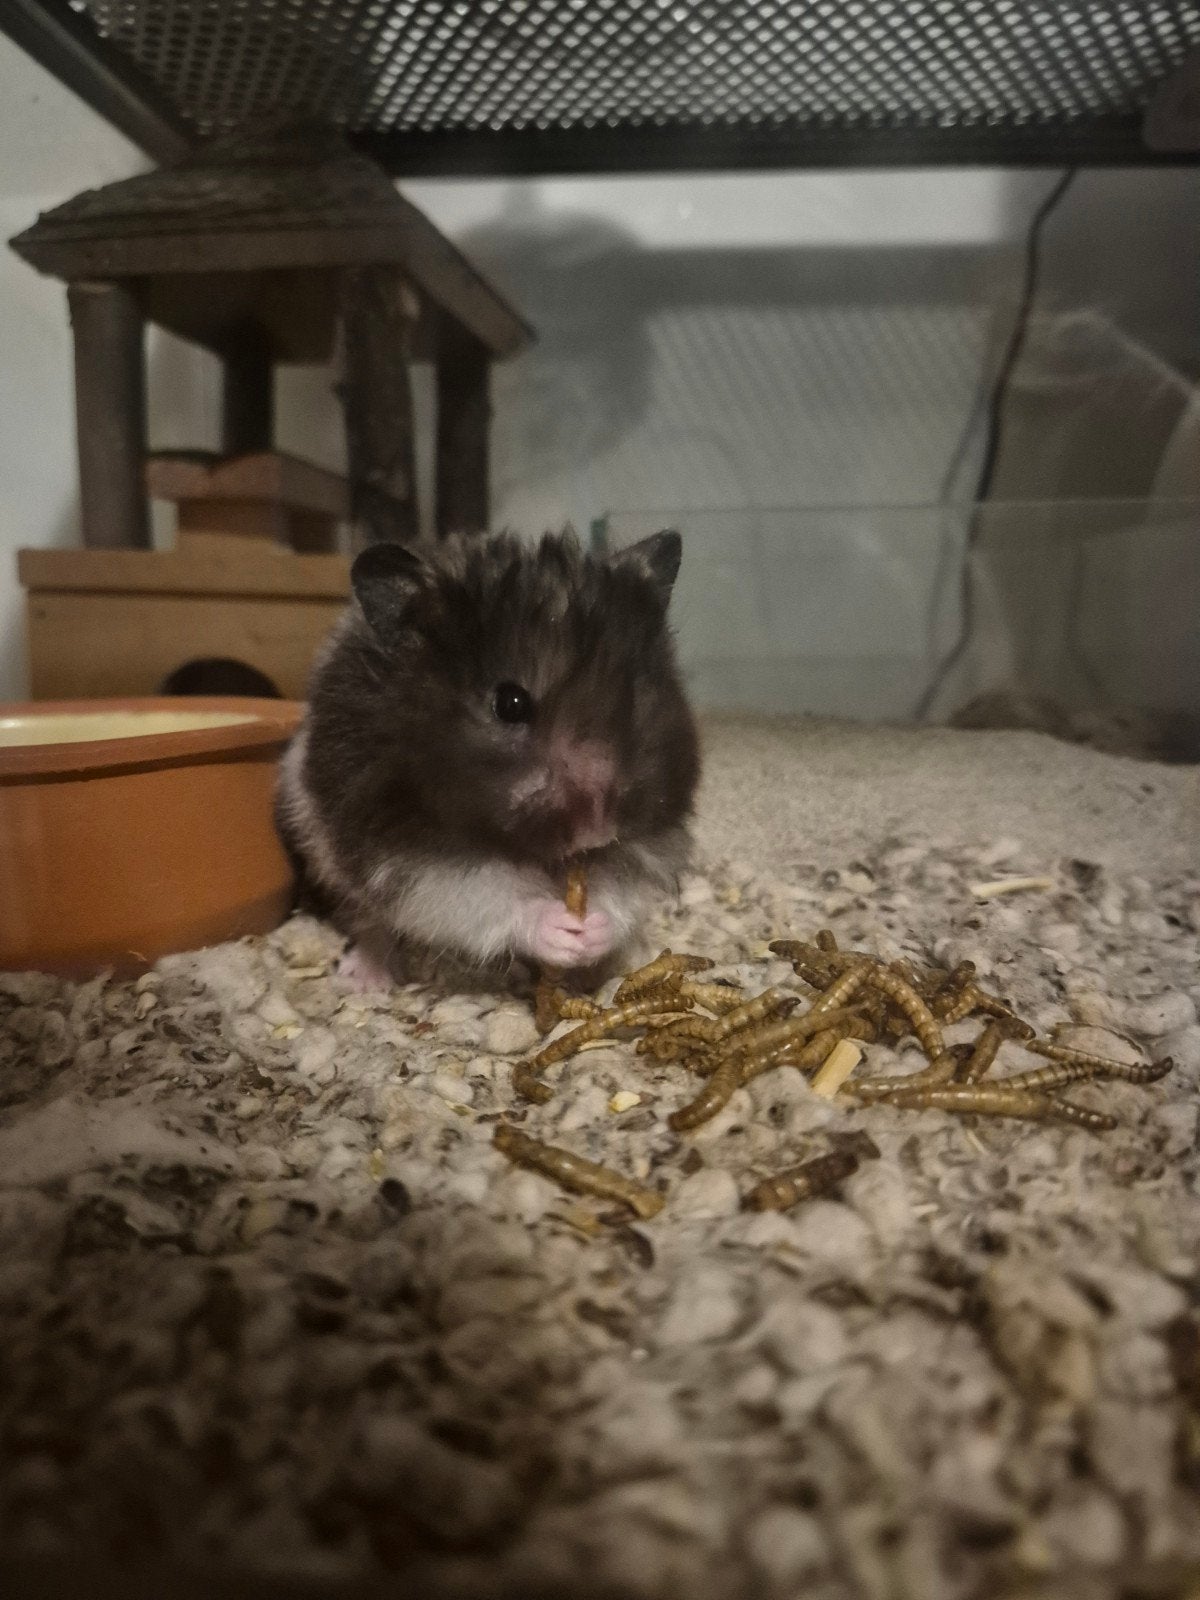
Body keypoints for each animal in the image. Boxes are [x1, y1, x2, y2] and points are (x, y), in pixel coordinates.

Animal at [276, 528, 700, 989]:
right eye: (510, 704)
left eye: (635, 698)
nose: (598, 832)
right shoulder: (405, 853)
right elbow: (488, 897)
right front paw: (560, 930)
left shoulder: (651, 839)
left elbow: (622, 890)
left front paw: (593, 932)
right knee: (368, 919)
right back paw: (366, 980)